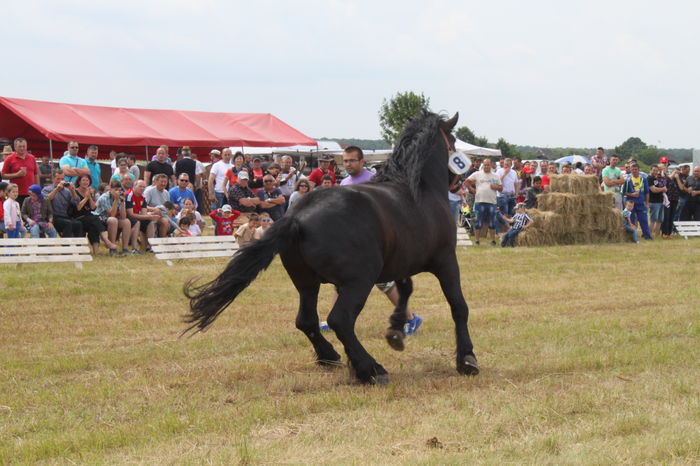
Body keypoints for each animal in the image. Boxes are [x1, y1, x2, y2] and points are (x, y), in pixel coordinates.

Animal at [184, 111, 479, 384]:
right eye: (453, 140)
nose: (460, 182)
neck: (418, 190)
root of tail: (297, 217)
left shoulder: (400, 262)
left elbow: (406, 290)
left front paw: (396, 330)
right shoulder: (445, 261)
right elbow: (459, 306)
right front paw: (467, 359)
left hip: (307, 282)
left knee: (306, 320)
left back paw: (332, 356)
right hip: (358, 280)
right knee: (341, 320)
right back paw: (371, 369)